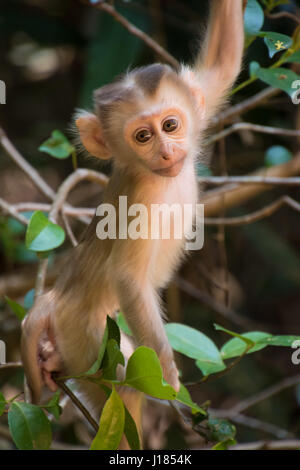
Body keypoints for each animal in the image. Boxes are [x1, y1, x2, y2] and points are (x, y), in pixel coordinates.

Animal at [21, 0, 246, 448]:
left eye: (171, 125)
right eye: (143, 136)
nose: (167, 152)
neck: (158, 178)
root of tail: (54, 297)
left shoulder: (197, 100)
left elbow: (225, 61)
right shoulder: (137, 204)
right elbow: (128, 278)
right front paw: (170, 378)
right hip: (87, 340)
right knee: (122, 392)